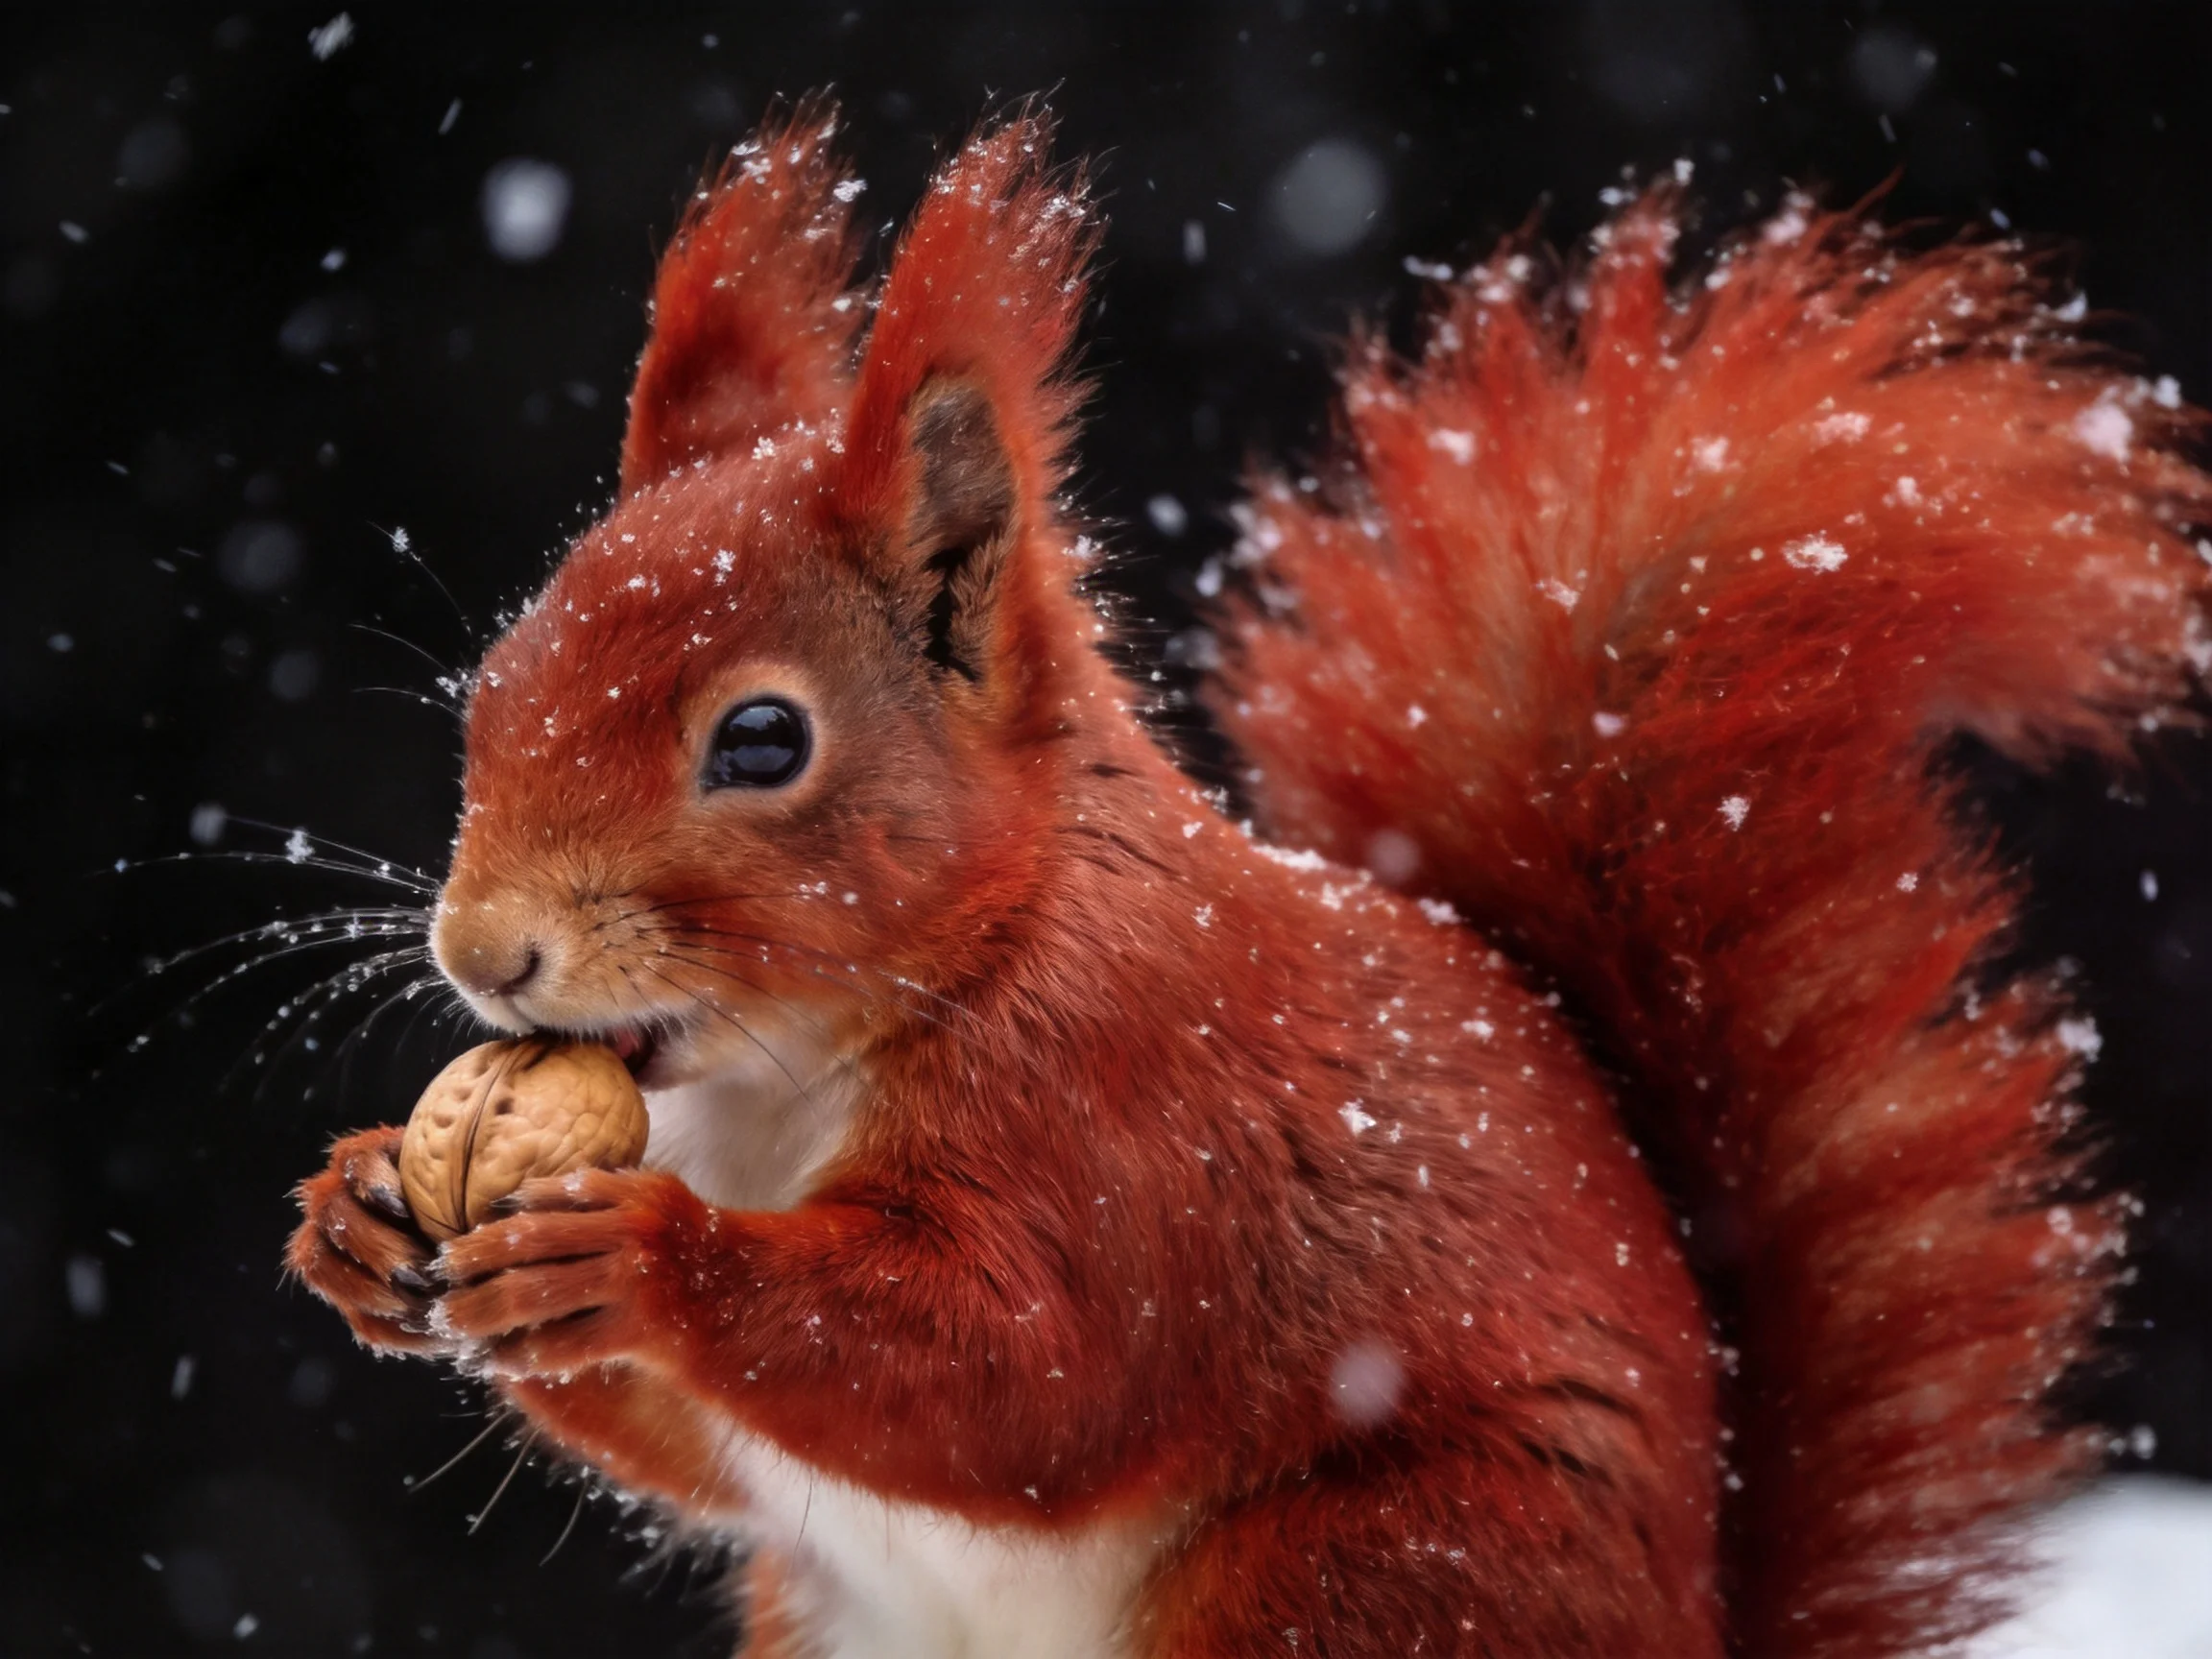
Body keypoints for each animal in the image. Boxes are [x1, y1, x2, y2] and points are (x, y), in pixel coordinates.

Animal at [287, 102, 2212, 1658]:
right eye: (496, 680)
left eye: (761, 741)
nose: (483, 952)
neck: (792, 1072)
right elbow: (703, 1451)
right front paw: (361, 1208)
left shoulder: (1134, 1117)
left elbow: (1021, 1367)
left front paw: (637, 1258)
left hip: (1364, 1569)